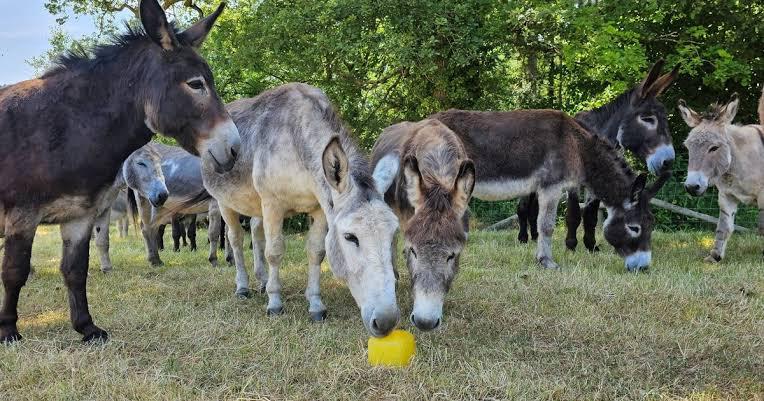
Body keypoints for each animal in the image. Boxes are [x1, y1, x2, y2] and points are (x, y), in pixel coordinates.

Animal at [202, 83, 401, 337]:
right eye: (350, 237)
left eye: (393, 236)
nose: (386, 322)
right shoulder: (273, 204)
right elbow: (275, 252)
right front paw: (275, 303)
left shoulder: (320, 208)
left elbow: (317, 252)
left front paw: (315, 304)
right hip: (225, 202)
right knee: (236, 239)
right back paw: (243, 287)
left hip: (256, 205)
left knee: (256, 233)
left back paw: (262, 281)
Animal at [431, 109, 670, 272]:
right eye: (634, 228)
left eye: (651, 226)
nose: (643, 267)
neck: (577, 145)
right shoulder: (551, 187)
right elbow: (546, 226)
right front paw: (546, 262)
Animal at [515, 60, 679, 251]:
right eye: (647, 118)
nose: (668, 161)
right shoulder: (573, 181)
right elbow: (574, 213)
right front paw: (571, 245)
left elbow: (591, 214)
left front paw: (591, 245)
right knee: (523, 207)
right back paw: (523, 237)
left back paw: (535, 236)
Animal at [679, 90, 764, 262]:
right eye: (687, 147)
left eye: (714, 148)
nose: (691, 187)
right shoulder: (726, 195)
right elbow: (724, 227)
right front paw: (715, 257)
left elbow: (762, 226)